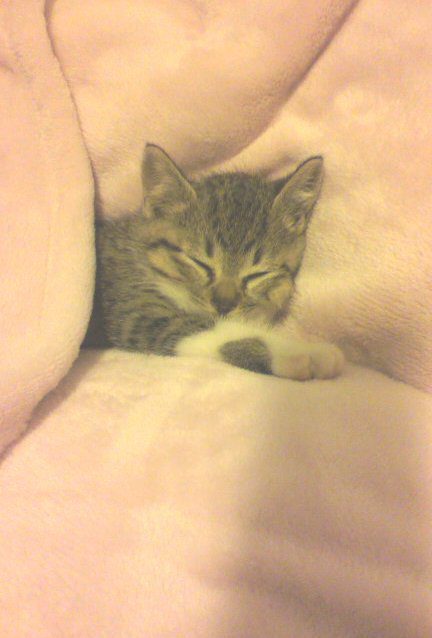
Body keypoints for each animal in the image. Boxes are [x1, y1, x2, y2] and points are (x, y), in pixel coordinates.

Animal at [92, 143, 344, 380]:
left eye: (257, 274)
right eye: (199, 263)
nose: (224, 305)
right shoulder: (134, 312)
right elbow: (210, 330)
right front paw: (298, 352)